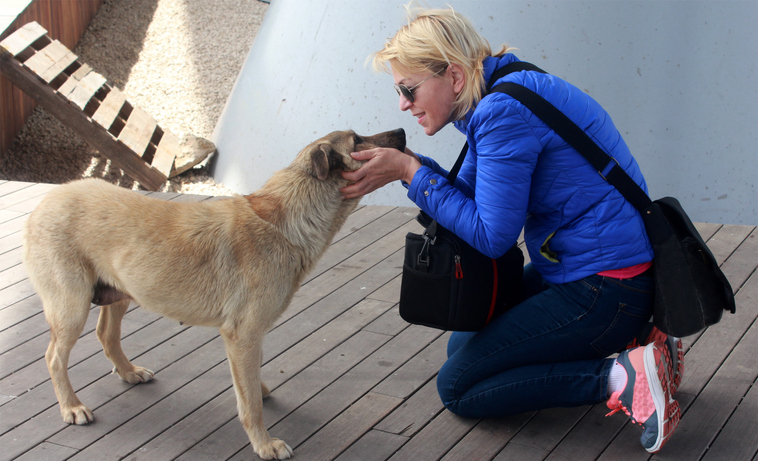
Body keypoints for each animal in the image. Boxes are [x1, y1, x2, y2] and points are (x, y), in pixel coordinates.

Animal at [22, 127, 404, 458]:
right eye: (357, 140)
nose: (402, 130)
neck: (284, 219)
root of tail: (48, 198)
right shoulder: (243, 335)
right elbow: (249, 403)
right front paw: (264, 444)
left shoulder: (249, 338)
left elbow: (251, 381)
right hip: (71, 308)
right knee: (54, 357)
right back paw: (71, 406)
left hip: (121, 292)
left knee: (106, 334)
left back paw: (128, 372)